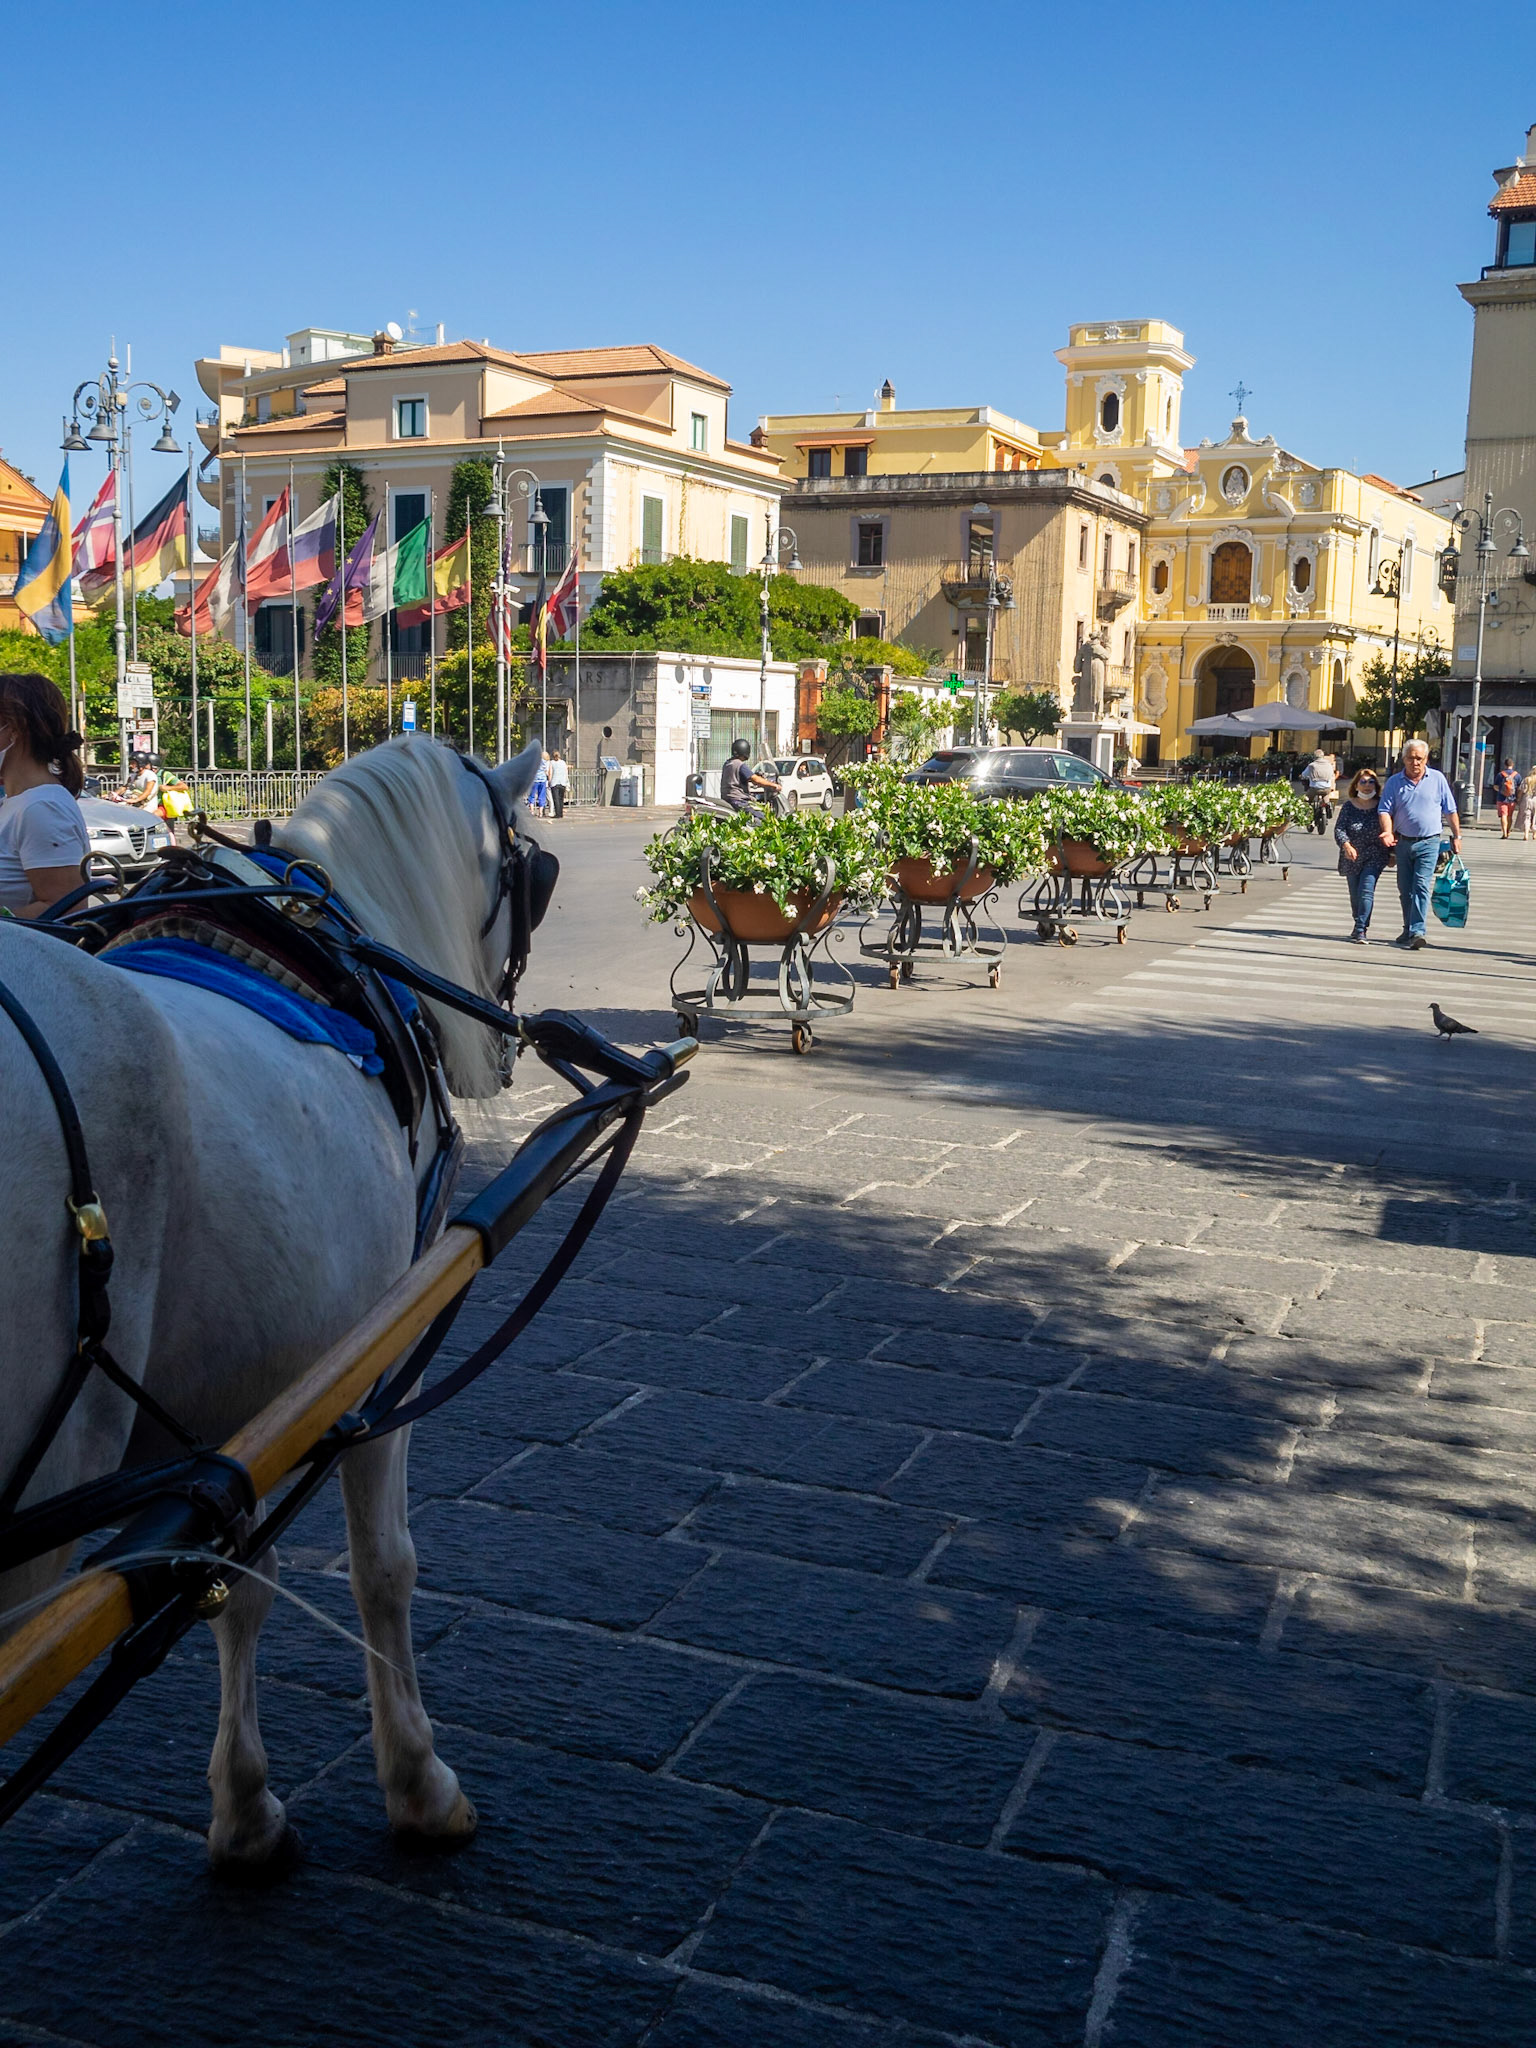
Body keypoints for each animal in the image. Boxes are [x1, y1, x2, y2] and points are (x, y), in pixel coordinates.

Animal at [1, 735, 543, 1872]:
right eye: (527, 873)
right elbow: (382, 1567)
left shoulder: (231, 1412)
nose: (505, 1047)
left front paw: (244, 1807)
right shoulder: (370, 1365)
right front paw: (416, 1780)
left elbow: (233, 1583)